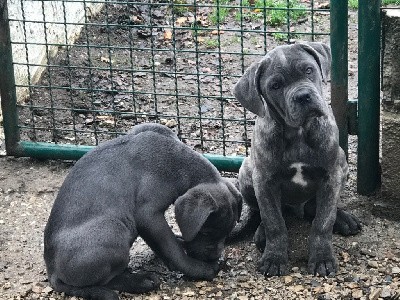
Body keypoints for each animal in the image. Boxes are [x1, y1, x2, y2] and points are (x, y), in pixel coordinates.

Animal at [45, 122, 242, 300]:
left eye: (227, 232)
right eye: (206, 231)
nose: (215, 256)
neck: (179, 161)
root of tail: (51, 270)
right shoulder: (148, 214)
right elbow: (172, 249)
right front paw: (199, 269)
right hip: (114, 228)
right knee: (104, 281)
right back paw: (141, 281)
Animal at [233, 41, 360, 276]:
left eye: (309, 70)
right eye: (275, 85)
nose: (303, 96)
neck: (298, 132)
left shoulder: (331, 175)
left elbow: (323, 221)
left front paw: (322, 258)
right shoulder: (264, 181)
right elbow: (274, 221)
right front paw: (274, 258)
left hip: (342, 162)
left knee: (316, 208)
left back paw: (343, 219)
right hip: (245, 171)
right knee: (264, 212)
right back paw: (261, 232)